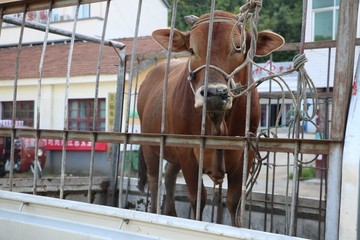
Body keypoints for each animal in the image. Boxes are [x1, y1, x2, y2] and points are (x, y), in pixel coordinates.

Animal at [136, 9, 282, 227]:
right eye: (191, 50)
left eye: (238, 48)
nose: (214, 93)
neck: (218, 121)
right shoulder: (188, 152)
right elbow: (198, 197)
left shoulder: (246, 154)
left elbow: (234, 202)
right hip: (150, 145)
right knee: (155, 180)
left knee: (169, 173)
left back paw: (170, 213)